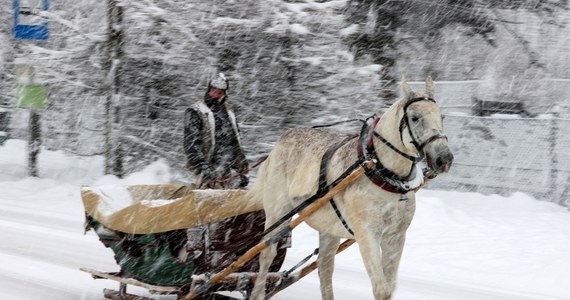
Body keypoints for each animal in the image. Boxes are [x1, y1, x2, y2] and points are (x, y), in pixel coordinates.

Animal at [246, 78, 450, 300]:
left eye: (441, 116)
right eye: (415, 118)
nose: (445, 158)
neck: (382, 171)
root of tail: (278, 143)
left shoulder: (395, 237)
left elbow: (390, 288)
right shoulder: (367, 234)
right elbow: (382, 289)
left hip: (329, 229)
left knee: (324, 268)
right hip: (278, 213)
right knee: (266, 254)